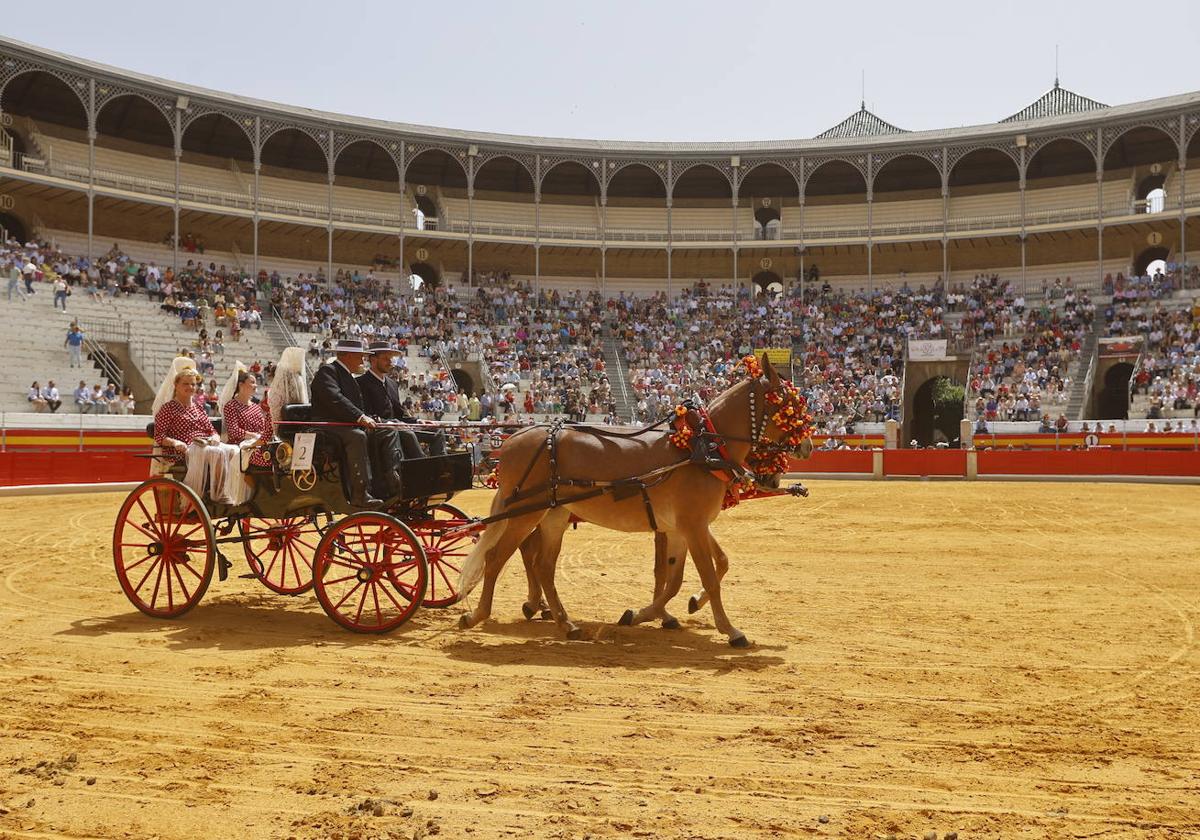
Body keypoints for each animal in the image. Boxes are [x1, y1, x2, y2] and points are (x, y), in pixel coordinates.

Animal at [456, 350, 806, 648]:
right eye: (790, 403)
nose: (807, 447)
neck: (702, 446)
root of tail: (513, 437)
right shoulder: (691, 525)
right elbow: (705, 576)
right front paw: (730, 630)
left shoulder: (682, 528)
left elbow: (686, 574)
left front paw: (651, 613)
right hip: (524, 513)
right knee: (497, 558)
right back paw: (477, 615)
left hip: (553, 515)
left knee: (542, 565)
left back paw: (564, 622)